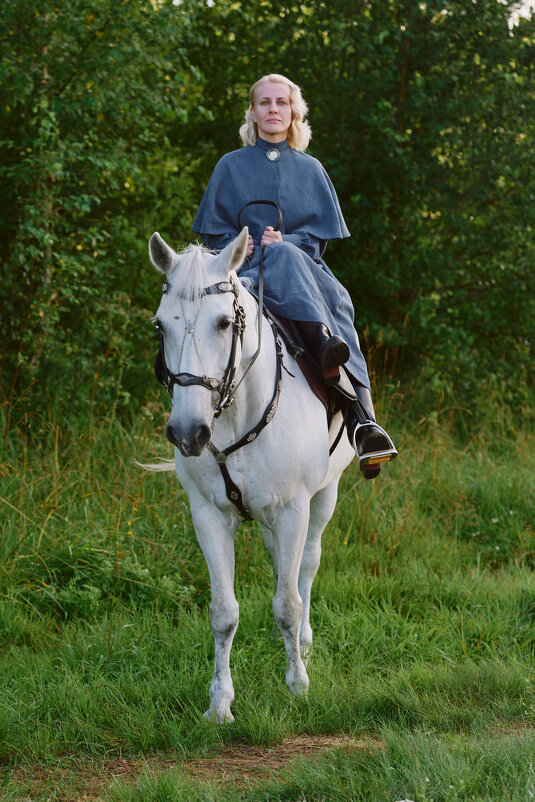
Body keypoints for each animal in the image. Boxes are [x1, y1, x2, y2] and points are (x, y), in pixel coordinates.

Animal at [149, 228, 354, 720]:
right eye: (160, 325)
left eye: (225, 323)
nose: (187, 432)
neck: (236, 416)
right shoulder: (208, 516)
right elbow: (224, 612)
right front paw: (219, 703)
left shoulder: (294, 510)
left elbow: (288, 604)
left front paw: (297, 685)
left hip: (325, 497)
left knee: (306, 567)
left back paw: (304, 644)